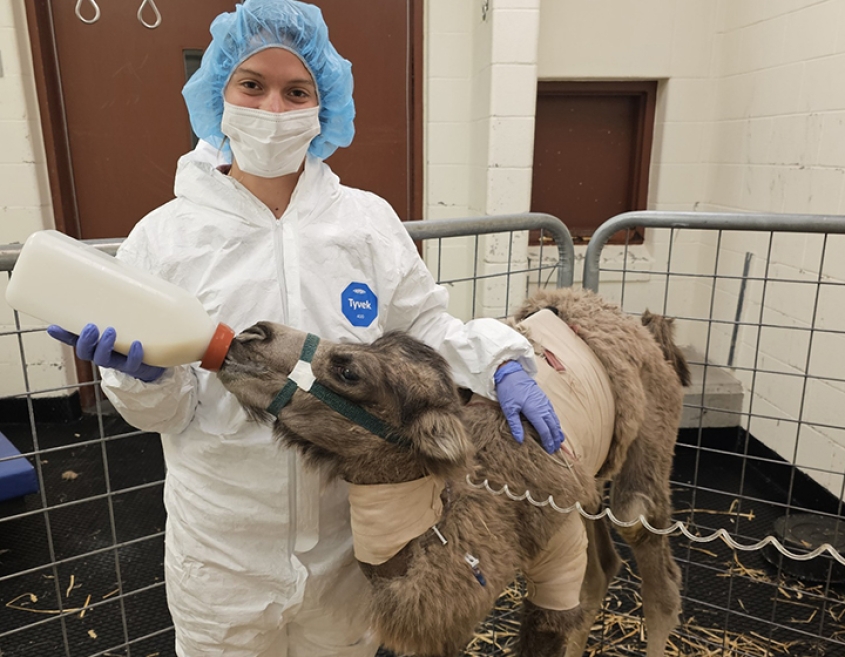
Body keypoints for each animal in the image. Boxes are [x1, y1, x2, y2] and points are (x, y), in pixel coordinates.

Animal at [216, 290, 684, 656]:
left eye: (348, 370)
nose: (253, 333)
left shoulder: (556, 555)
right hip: (585, 483)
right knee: (602, 569)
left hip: (651, 441)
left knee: (644, 545)